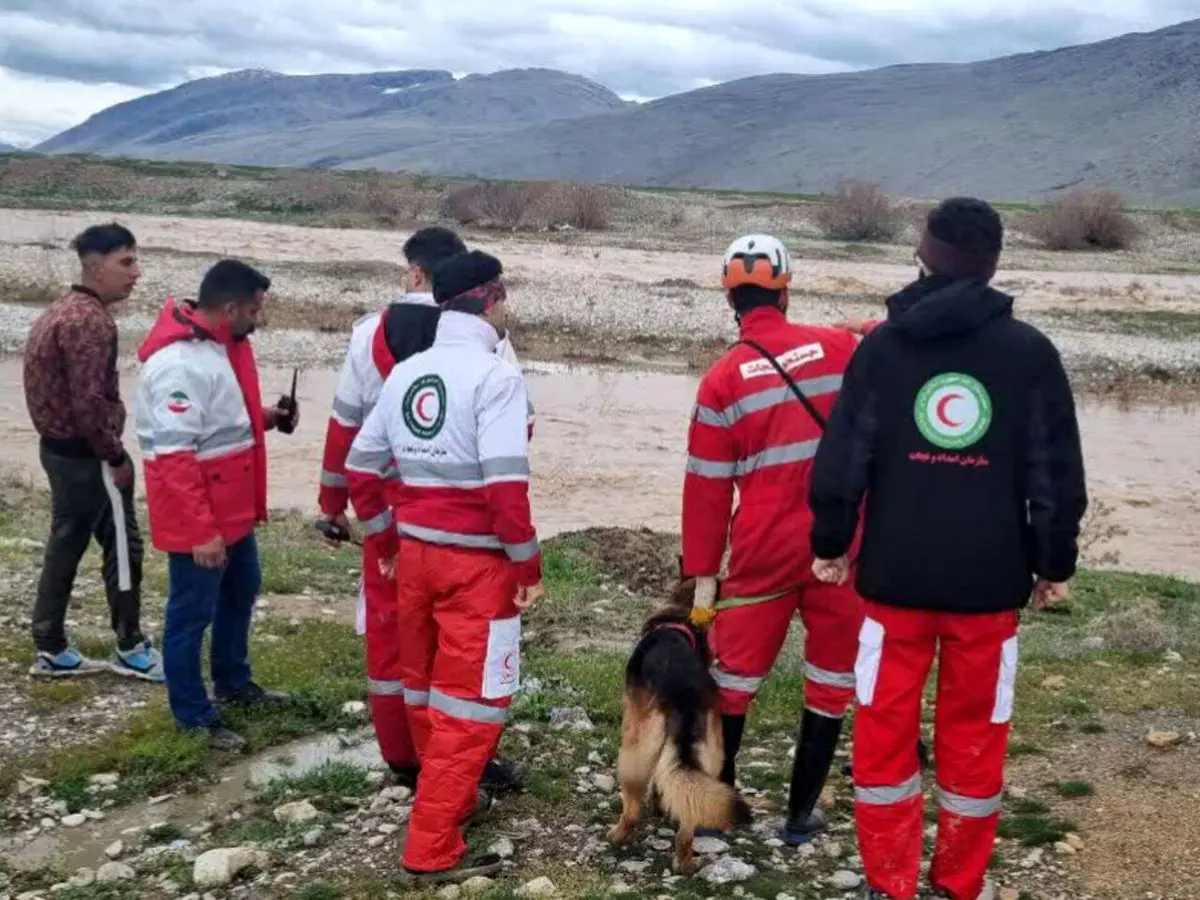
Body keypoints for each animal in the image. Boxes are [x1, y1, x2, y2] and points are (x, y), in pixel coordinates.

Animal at [609, 573, 748, 878]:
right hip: (709, 758)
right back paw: (685, 863)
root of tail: (685, 695)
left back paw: (618, 835)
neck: (678, 622)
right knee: (688, 820)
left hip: (635, 751)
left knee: (632, 809)